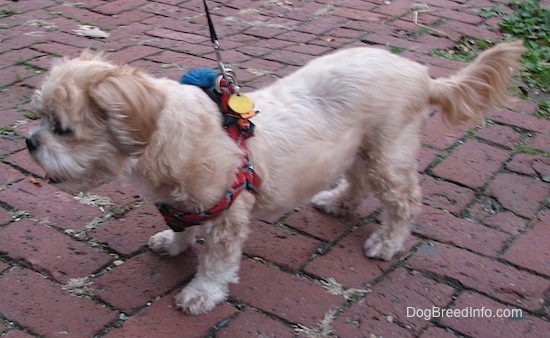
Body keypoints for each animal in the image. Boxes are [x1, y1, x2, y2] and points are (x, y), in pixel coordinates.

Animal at [25, 41, 528, 314]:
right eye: (39, 117)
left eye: (61, 128)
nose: (29, 141)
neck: (171, 139)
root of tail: (423, 75)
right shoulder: (185, 203)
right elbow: (181, 225)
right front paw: (174, 242)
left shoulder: (227, 214)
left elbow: (216, 263)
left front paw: (202, 294)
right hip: (360, 150)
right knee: (359, 183)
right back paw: (339, 203)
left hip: (388, 154)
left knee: (403, 201)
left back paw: (387, 242)